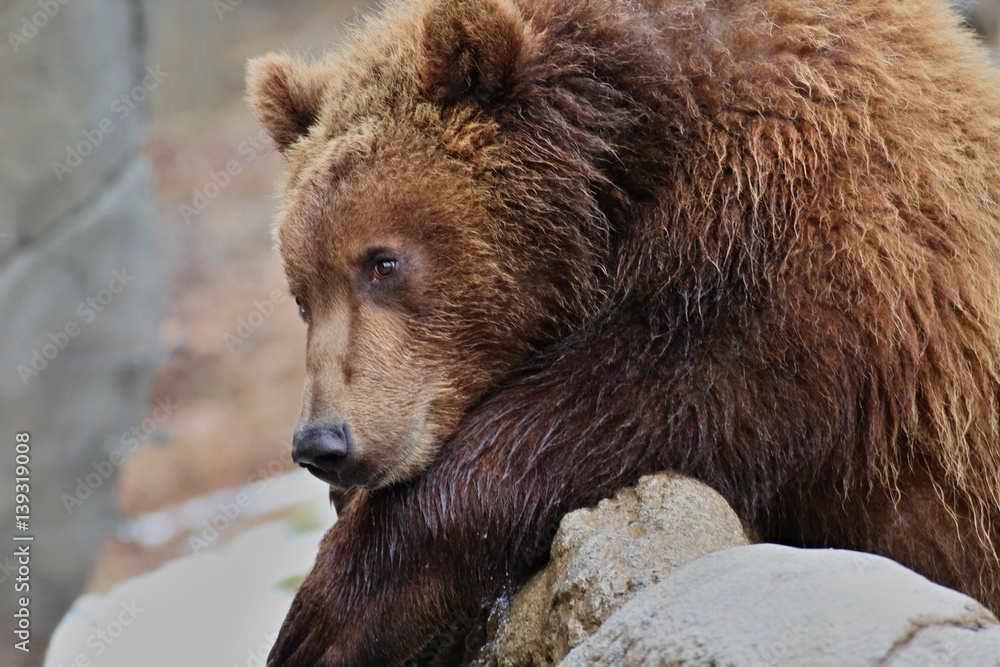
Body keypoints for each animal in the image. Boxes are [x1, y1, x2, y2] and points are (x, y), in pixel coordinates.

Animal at [247, 0, 1000, 663]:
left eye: (382, 262)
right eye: (301, 296)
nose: (322, 443)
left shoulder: (808, 240)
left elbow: (631, 403)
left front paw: (323, 617)